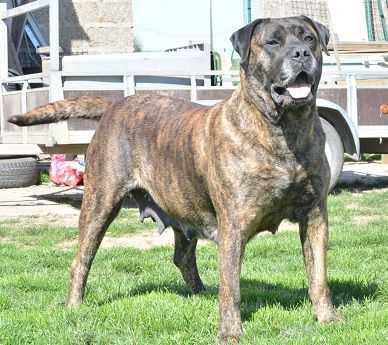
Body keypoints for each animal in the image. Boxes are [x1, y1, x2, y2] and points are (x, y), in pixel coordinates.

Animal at [9, 15, 336, 342]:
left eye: (309, 39)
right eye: (272, 42)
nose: (300, 53)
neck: (284, 129)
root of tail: (116, 104)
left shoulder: (315, 216)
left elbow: (318, 275)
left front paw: (327, 318)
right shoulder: (234, 224)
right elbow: (231, 286)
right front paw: (230, 332)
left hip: (184, 205)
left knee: (183, 257)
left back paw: (201, 292)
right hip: (100, 204)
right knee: (81, 259)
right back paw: (74, 305)